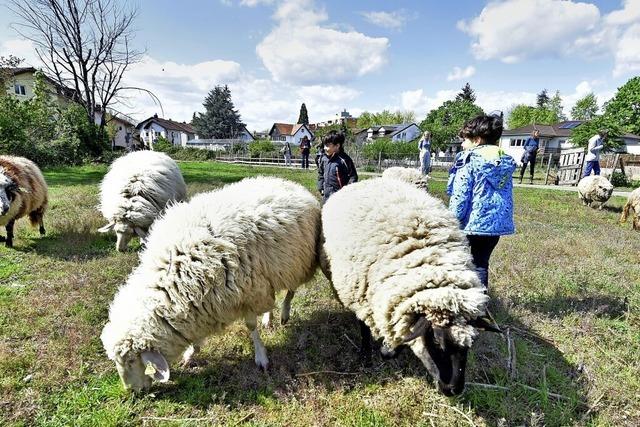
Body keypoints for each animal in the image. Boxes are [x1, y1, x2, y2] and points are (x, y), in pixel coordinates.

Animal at [100, 176, 320, 392]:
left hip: (298, 262)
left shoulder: (248, 293)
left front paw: (261, 357)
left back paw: (284, 314)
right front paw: (191, 353)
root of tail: (285, 181)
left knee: (291, 290)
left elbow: (251, 326)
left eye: (131, 361)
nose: (131, 391)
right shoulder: (204, 307)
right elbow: (198, 337)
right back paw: (269, 318)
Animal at [320, 177, 500, 398]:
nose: (453, 390)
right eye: (437, 343)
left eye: (469, 346)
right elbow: (365, 329)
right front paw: (369, 355)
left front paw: (390, 349)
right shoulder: (360, 297)